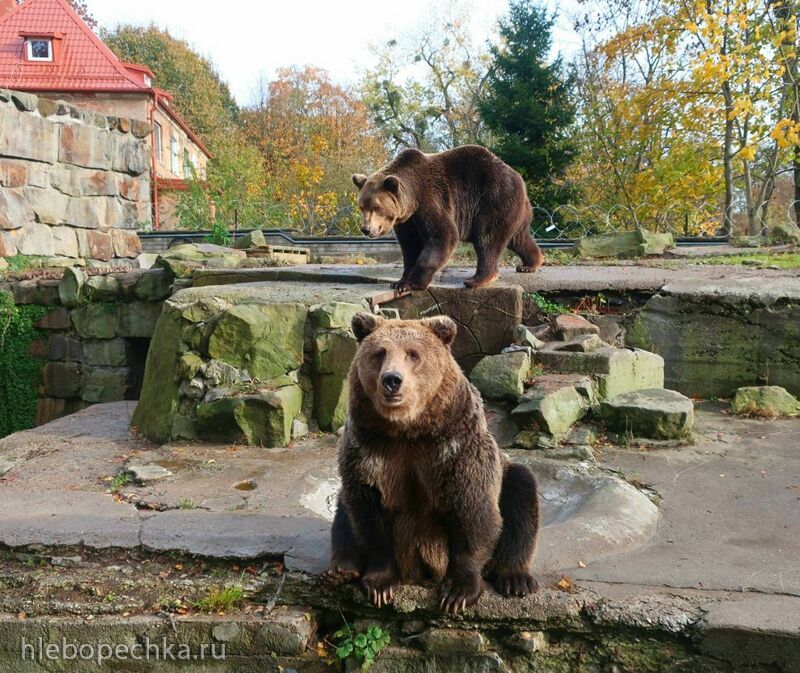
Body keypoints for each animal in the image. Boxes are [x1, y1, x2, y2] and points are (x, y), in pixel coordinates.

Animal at [322, 312, 540, 612]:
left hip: (506, 474)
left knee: (521, 492)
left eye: (413, 353)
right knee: (344, 508)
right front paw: (380, 584)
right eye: (380, 352)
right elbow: (370, 514)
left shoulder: (454, 447)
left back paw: (515, 579)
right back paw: (342, 570)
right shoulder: (369, 450)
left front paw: (459, 592)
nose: (392, 380)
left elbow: (473, 511)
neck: (408, 429)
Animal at [354, 146, 548, 290]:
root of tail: (519, 178)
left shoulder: (430, 201)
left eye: (376, 207)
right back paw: (530, 264)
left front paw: (413, 283)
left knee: (487, 240)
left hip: (494, 200)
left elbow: (443, 235)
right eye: (361, 206)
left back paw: (477, 279)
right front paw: (399, 282)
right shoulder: (407, 220)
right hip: (516, 211)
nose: (366, 229)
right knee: (518, 238)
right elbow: (410, 246)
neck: (412, 198)